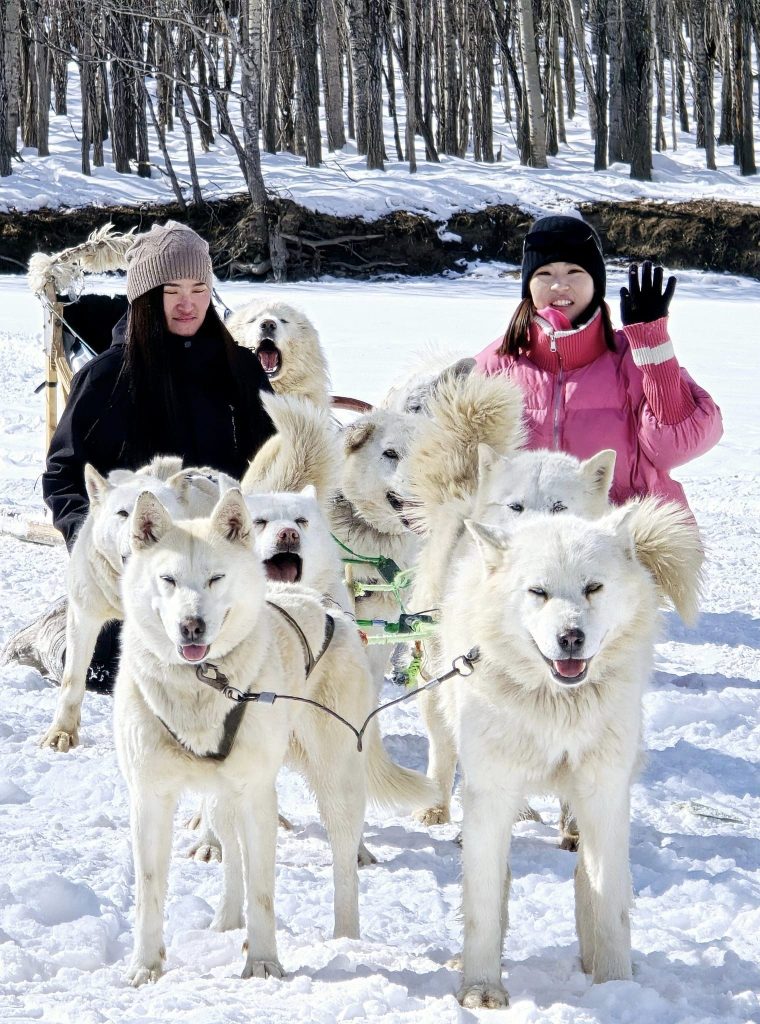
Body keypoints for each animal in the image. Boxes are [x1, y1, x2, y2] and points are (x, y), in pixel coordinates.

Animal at [115, 491, 432, 987]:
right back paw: (226, 921)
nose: (191, 626)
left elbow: (263, 889)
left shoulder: (258, 797)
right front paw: (145, 966)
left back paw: (345, 938)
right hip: (222, 798)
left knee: (343, 858)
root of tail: (319, 602)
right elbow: (151, 892)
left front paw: (264, 962)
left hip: (335, 779)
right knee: (232, 860)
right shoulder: (149, 798)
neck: (201, 686)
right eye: (168, 579)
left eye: (216, 578)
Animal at [438, 503, 704, 1007]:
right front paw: (481, 988)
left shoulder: (604, 796)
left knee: (586, 879)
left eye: (592, 587)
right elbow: (483, 901)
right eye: (538, 591)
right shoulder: (491, 796)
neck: (556, 706)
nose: (571, 637)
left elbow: (610, 904)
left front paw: (617, 988)